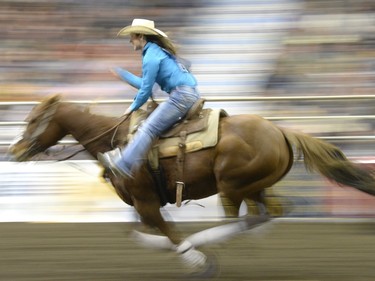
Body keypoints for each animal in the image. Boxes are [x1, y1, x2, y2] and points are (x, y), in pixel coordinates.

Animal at [8, 94, 375, 272]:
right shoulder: (140, 202)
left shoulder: (145, 200)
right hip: (252, 185)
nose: (15, 149)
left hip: (233, 184)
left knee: (252, 216)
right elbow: (138, 231)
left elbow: (166, 231)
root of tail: (281, 130)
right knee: (267, 212)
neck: (116, 142)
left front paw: (197, 260)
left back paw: (209, 240)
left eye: (33, 120)